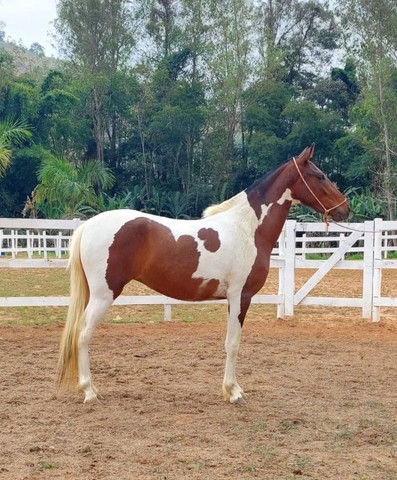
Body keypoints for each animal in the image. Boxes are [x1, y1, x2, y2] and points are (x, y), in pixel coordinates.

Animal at [57, 144, 348, 404]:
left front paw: (232, 389)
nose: (345, 209)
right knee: (82, 334)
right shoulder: (240, 296)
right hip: (103, 295)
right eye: (320, 176)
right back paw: (90, 392)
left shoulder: (233, 299)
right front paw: (233, 393)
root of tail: (88, 225)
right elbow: (233, 343)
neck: (247, 228)